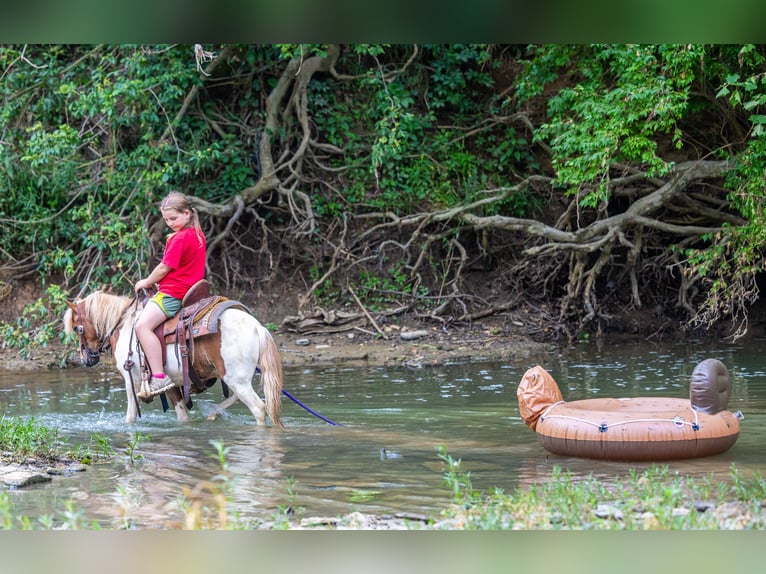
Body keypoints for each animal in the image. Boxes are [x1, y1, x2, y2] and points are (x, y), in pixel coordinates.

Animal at [63, 291, 283, 427]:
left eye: (77, 328)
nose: (86, 359)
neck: (123, 326)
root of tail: (257, 327)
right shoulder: (171, 384)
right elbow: (182, 416)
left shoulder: (131, 380)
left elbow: (130, 417)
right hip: (236, 379)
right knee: (241, 398)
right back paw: (214, 412)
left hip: (237, 380)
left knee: (259, 408)